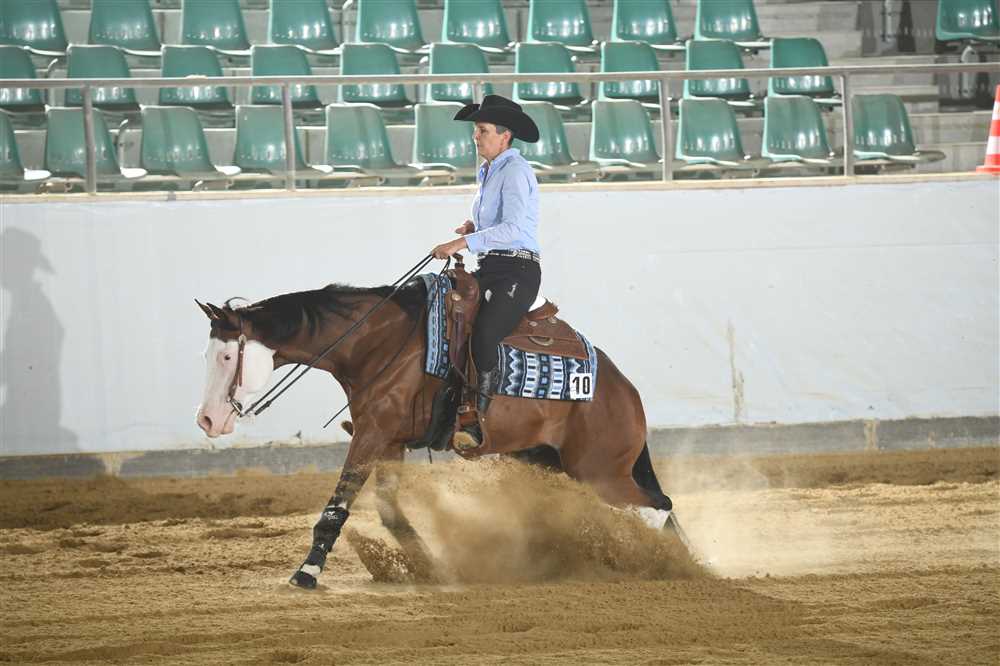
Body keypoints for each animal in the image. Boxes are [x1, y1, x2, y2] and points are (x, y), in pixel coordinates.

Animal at [195, 270, 679, 589]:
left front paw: (306, 572)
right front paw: (429, 567)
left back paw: (659, 565)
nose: (207, 419)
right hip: (550, 460)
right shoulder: (389, 441)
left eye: (227, 356)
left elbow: (337, 507)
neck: (379, 343)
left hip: (600, 471)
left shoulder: (371, 434)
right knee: (659, 508)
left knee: (657, 508)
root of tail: (625, 389)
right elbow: (390, 512)